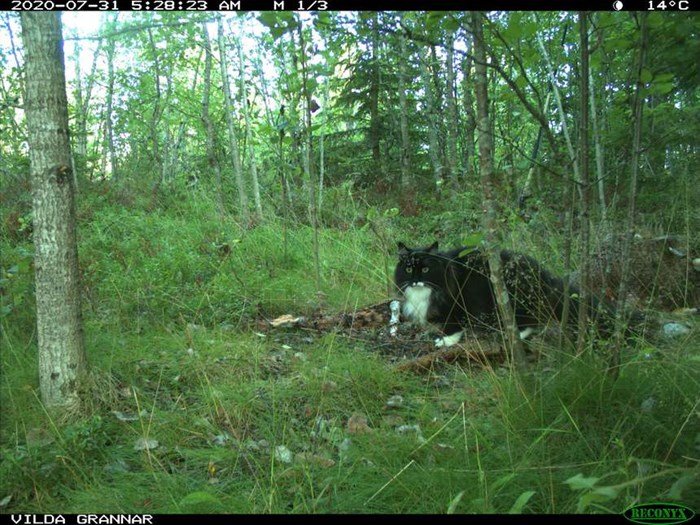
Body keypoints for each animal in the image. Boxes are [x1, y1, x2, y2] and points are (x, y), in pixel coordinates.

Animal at [394, 242, 616, 348]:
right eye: (408, 269)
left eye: (425, 270)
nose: (415, 280)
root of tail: (541, 273)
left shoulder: (455, 304)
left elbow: (453, 326)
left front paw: (445, 341)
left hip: (515, 300)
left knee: (528, 322)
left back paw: (513, 336)